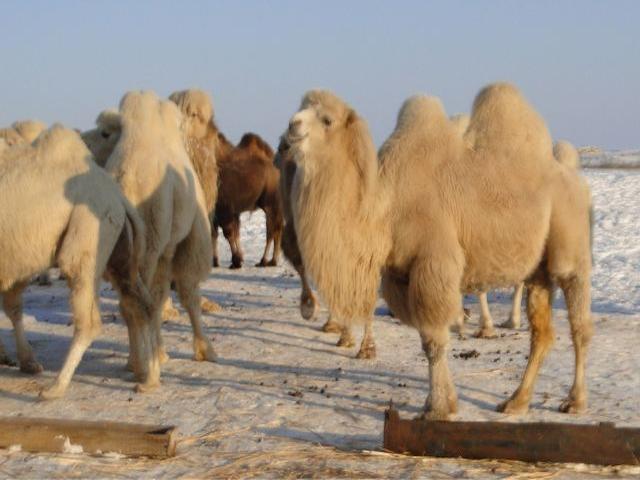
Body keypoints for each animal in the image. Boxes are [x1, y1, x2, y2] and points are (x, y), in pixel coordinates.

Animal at [0, 125, 155, 398]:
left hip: (87, 229)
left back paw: (55, 388)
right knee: (140, 301)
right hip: (120, 249)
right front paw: (22, 362)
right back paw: (147, 378)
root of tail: (117, 196)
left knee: (88, 316)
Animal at [101, 90, 217, 390]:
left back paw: (137, 364)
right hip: (148, 245)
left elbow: (162, 293)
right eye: (202, 116)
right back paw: (149, 373)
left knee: (131, 303)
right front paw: (205, 350)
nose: (216, 134)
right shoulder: (189, 240)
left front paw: (160, 353)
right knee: (144, 305)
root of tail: (125, 186)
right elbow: (188, 293)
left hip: (119, 250)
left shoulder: (166, 250)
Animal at [285, 84, 592, 419]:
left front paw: (438, 408)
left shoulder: (433, 264)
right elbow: (426, 339)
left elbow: (434, 342)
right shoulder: (401, 276)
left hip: (571, 243)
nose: (292, 126)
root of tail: (576, 180)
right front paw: (439, 403)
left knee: (579, 324)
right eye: (300, 109)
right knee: (542, 332)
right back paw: (516, 401)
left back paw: (575, 401)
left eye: (327, 120)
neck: (385, 210)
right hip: (538, 267)